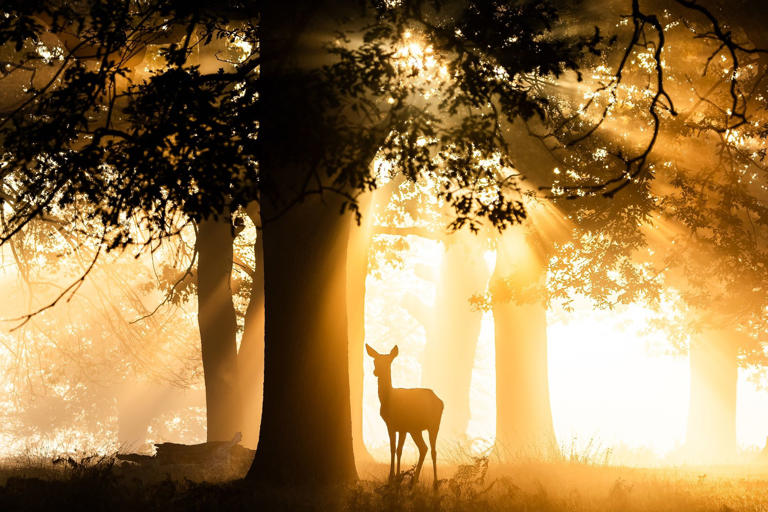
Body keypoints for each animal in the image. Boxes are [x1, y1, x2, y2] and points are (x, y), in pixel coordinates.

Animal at [366, 344, 444, 488]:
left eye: (388, 362)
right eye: (375, 361)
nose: (376, 372)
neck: (388, 399)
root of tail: (441, 402)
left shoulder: (396, 425)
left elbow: (395, 449)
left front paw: (393, 478)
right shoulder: (399, 427)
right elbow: (396, 450)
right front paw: (395, 477)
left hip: (429, 425)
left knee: (429, 449)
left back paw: (428, 483)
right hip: (421, 428)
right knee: (427, 449)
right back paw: (420, 482)